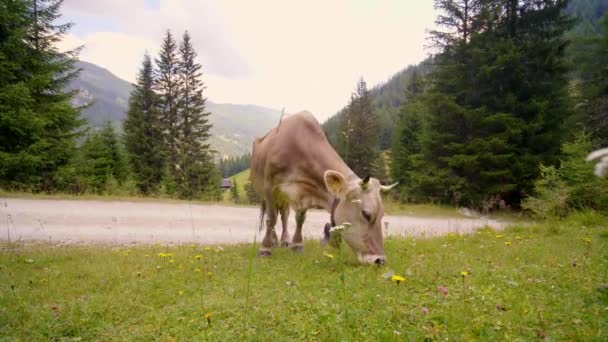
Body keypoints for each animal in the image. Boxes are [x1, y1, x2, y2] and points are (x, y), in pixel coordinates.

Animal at [251, 111, 396, 264]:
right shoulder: (270, 187)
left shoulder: (303, 193)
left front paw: (297, 245)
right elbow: (271, 219)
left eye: (382, 215)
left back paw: (285, 241)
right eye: (366, 214)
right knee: (273, 216)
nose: (379, 260)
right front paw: (265, 249)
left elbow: (300, 219)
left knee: (284, 215)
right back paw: (273, 241)